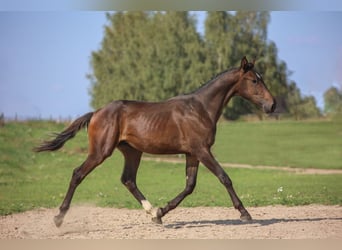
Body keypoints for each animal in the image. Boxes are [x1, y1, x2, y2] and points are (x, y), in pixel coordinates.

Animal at [34, 56, 276, 227]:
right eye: (254, 80)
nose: (272, 105)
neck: (200, 108)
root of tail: (96, 113)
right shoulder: (202, 150)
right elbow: (224, 177)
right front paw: (245, 213)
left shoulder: (192, 153)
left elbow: (189, 186)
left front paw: (161, 212)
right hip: (101, 151)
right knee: (78, 174)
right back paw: (58, 218)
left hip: (132, 152)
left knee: (128, 180)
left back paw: (152, 212)